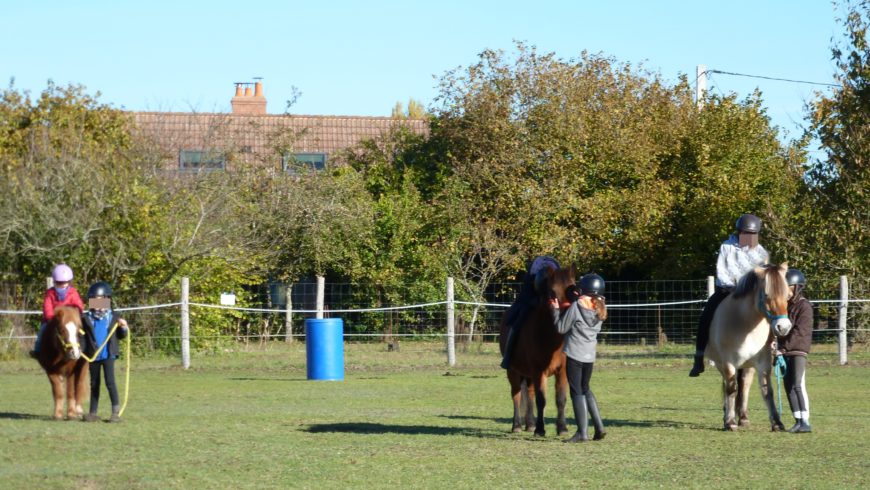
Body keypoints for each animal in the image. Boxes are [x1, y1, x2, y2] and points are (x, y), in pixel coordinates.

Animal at [498, 266, 580, 434]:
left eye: (573, 290)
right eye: (552, 292)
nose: (566, 317)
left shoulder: (562, 372)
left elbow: (560, 399)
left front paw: (562, 428)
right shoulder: (539, 372)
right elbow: (541, 400)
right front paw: (540, 429)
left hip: (528, 375)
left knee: (528, 393)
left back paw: (530, 424)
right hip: (513, 372)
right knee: (516, 395)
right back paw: (517, 425)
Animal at [712, 262, 792, 430]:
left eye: (788, 296)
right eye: (767, 295)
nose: (783, 327)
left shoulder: (763, 363)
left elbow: (767, 390)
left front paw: (777, 422)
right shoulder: (728, 363)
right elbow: (731, 389)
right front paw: (730, 422)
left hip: (748, 366)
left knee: (745, 385)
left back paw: (743, 417)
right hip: (721, 364)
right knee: (729, 385)